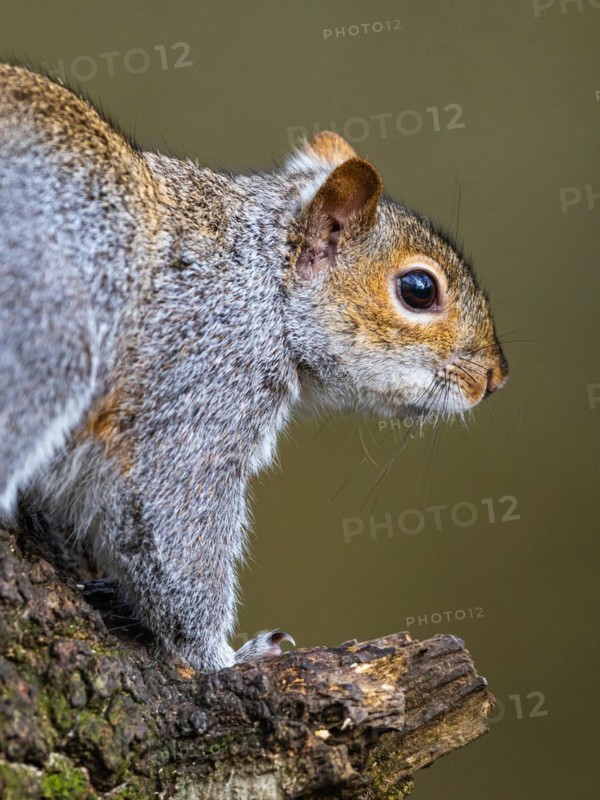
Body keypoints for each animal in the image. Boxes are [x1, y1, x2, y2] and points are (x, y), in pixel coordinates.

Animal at [0, 64, 508, 671]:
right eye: (418, 289)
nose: (494, 377)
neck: (258, 278)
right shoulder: (203, 380)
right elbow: (174, 517)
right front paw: (225, 658)